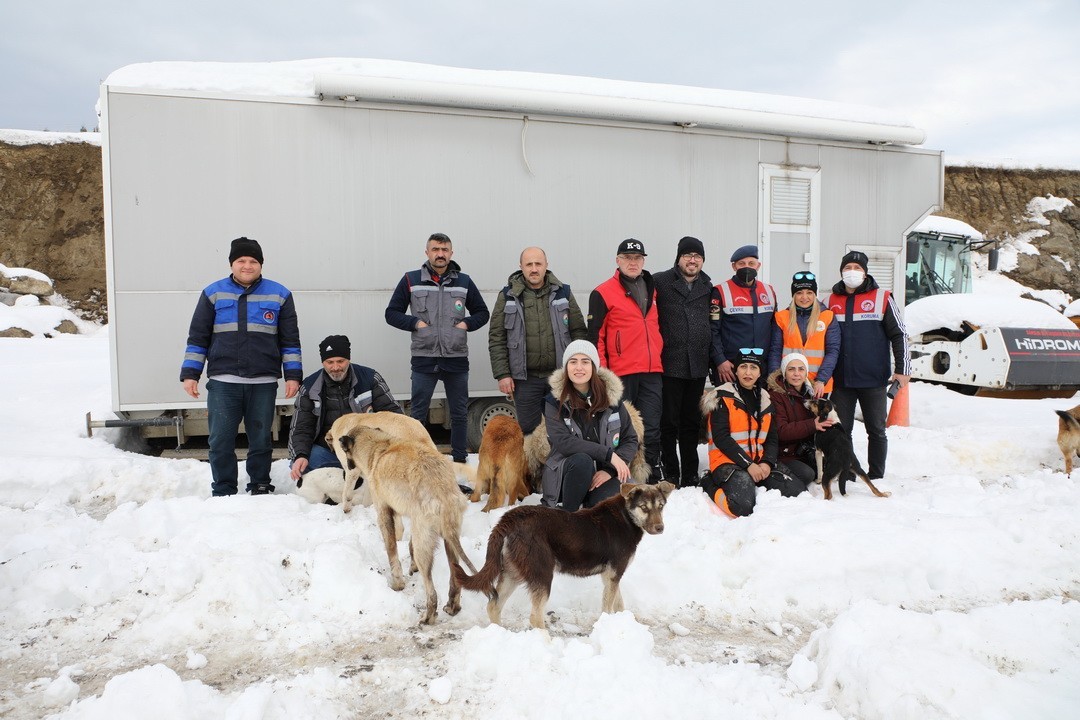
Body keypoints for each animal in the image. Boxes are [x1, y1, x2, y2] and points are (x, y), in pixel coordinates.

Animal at [324, 418, 477, 626]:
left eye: (344, 450)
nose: (348, 466)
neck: (378, 447)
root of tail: (444, 493)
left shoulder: (384, 512)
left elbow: (391, 550)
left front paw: (397, 583)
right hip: (449, 541)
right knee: (454, 579)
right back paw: (452, 607)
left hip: (424, 545)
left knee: (431, 591)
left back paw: (428, 616)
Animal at [455, 483, 673, 630]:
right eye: (644, 507)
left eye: (661, 506)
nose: (660, 528)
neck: (627, 517)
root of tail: (509, 519)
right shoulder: (613, 573)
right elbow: (608, 606)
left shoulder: (611, 576)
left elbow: (618, 603)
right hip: (542, 574)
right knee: (534, 617)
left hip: (512, 574)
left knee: (493, 606)